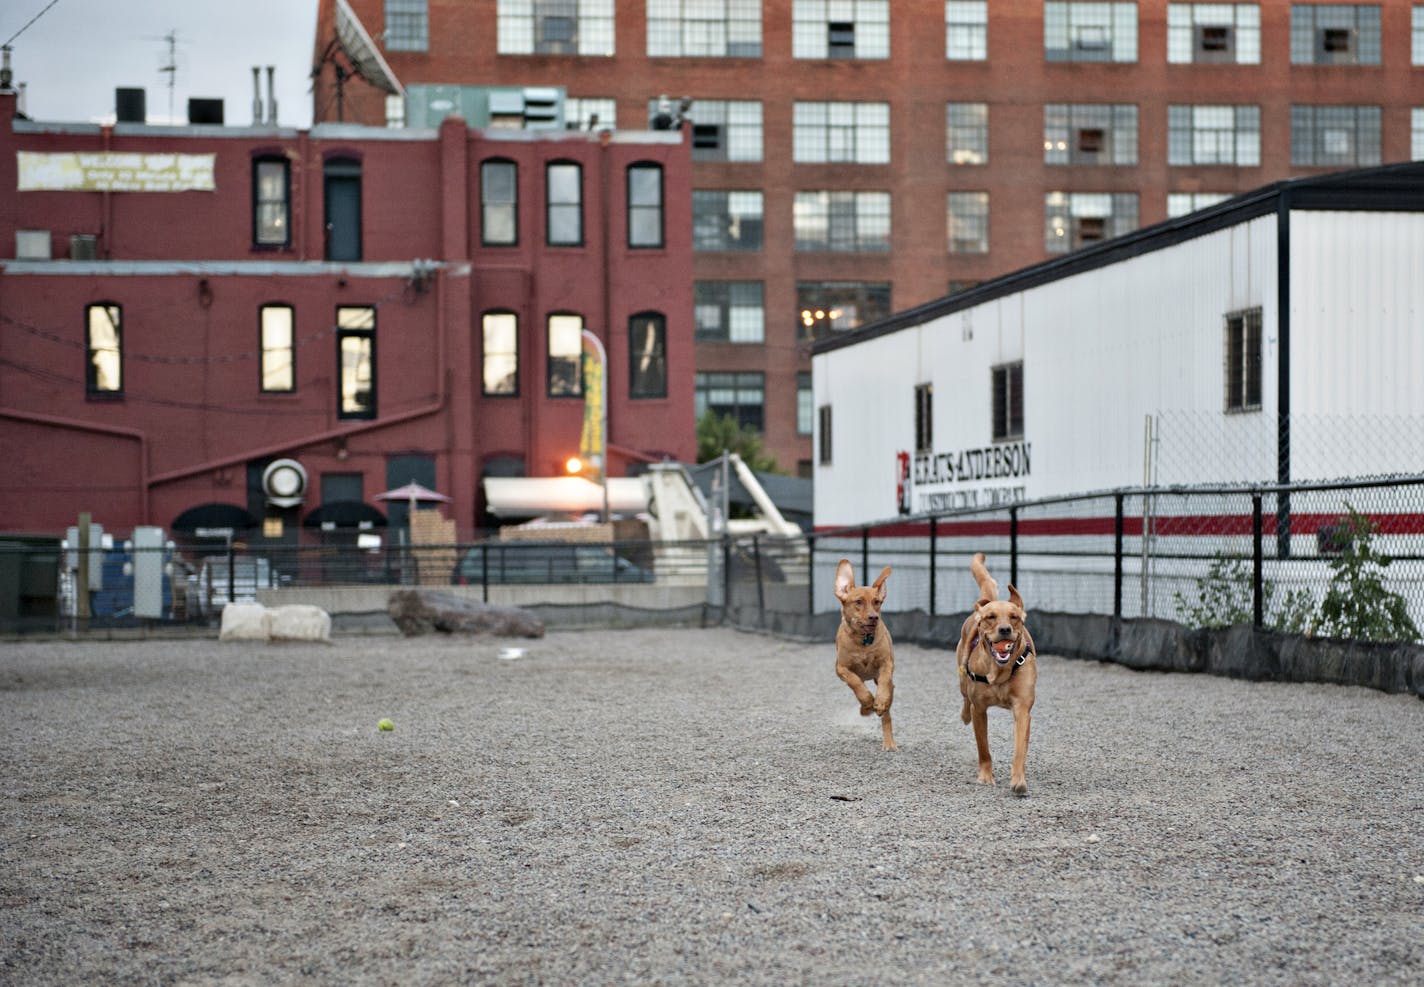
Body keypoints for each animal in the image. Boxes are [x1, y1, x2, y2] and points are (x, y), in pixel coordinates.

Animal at [831, 558, 894, 752]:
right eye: (858, 602)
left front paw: (880, 701)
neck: (863, 641)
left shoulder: (886, 663)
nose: (874, 617)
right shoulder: (841, 668)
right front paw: (867, 703)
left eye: (877, 601)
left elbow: (884, 681)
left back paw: (889, 743)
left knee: (887, 713)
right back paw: (865, 709)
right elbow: (855, 682)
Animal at [956, 555, 1036, 791]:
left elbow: (1019, 749)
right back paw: (964, 715)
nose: (1005, 629)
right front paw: (985, 776)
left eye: (1014, 617)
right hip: (962, 679)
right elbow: (984, 748)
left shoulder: (1022, 708)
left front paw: (1018, 780)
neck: (999, 672)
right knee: (965, 699)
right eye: (991, 617)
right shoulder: (980, 709)